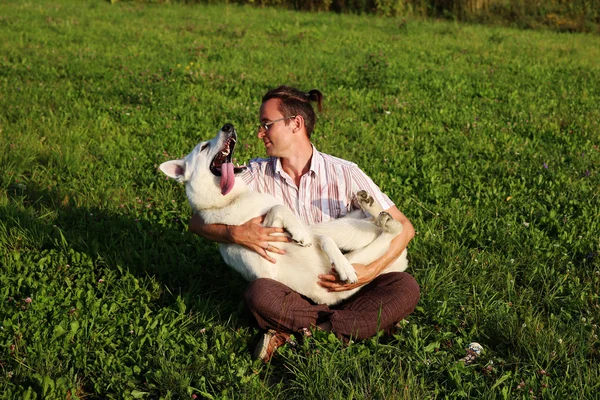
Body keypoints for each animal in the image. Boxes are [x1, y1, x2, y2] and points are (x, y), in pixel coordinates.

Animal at [159, 123, 408, 304]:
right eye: (203, 147)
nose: (228, 126)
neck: (230, 201)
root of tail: (402, 261)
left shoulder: (311, 231)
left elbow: (313, 234)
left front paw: (340, 264)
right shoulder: (265, 266)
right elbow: (278, 210)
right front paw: (298, 234)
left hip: (343, 228)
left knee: (386, 226)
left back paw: (372, 208)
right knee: (391, 231)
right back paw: (383, 221)